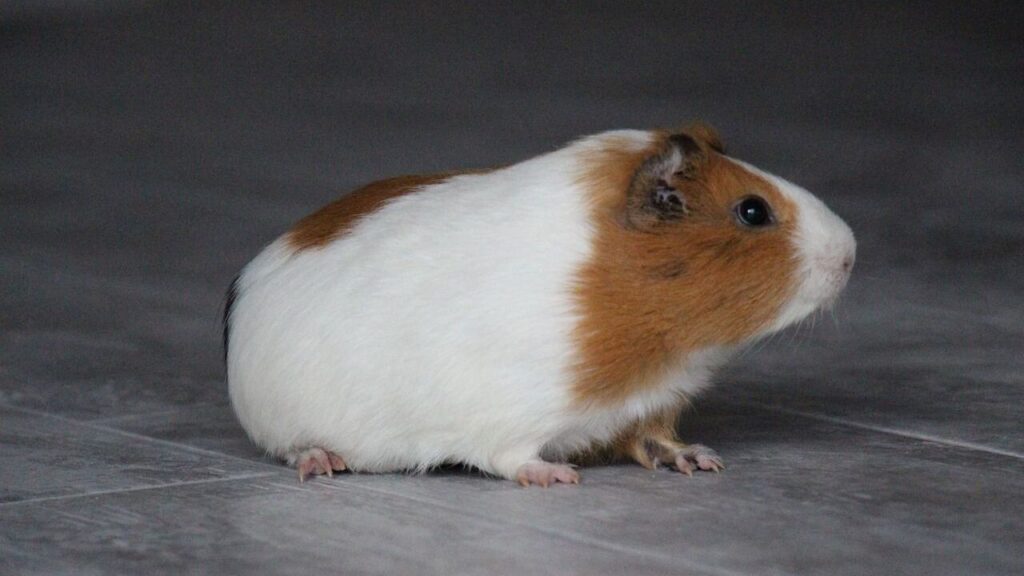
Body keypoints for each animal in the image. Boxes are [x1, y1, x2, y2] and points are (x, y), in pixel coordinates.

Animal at [224, 124, 856, 486]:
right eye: (752, 210)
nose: (850, 252)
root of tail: (248, 288)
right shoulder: (511, 418)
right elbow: (513, 459)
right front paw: (559, 476)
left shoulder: (650, 404)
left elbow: (657, 441)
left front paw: (701, 460)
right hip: (289, 426)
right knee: (295, 450)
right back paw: (322, 465)